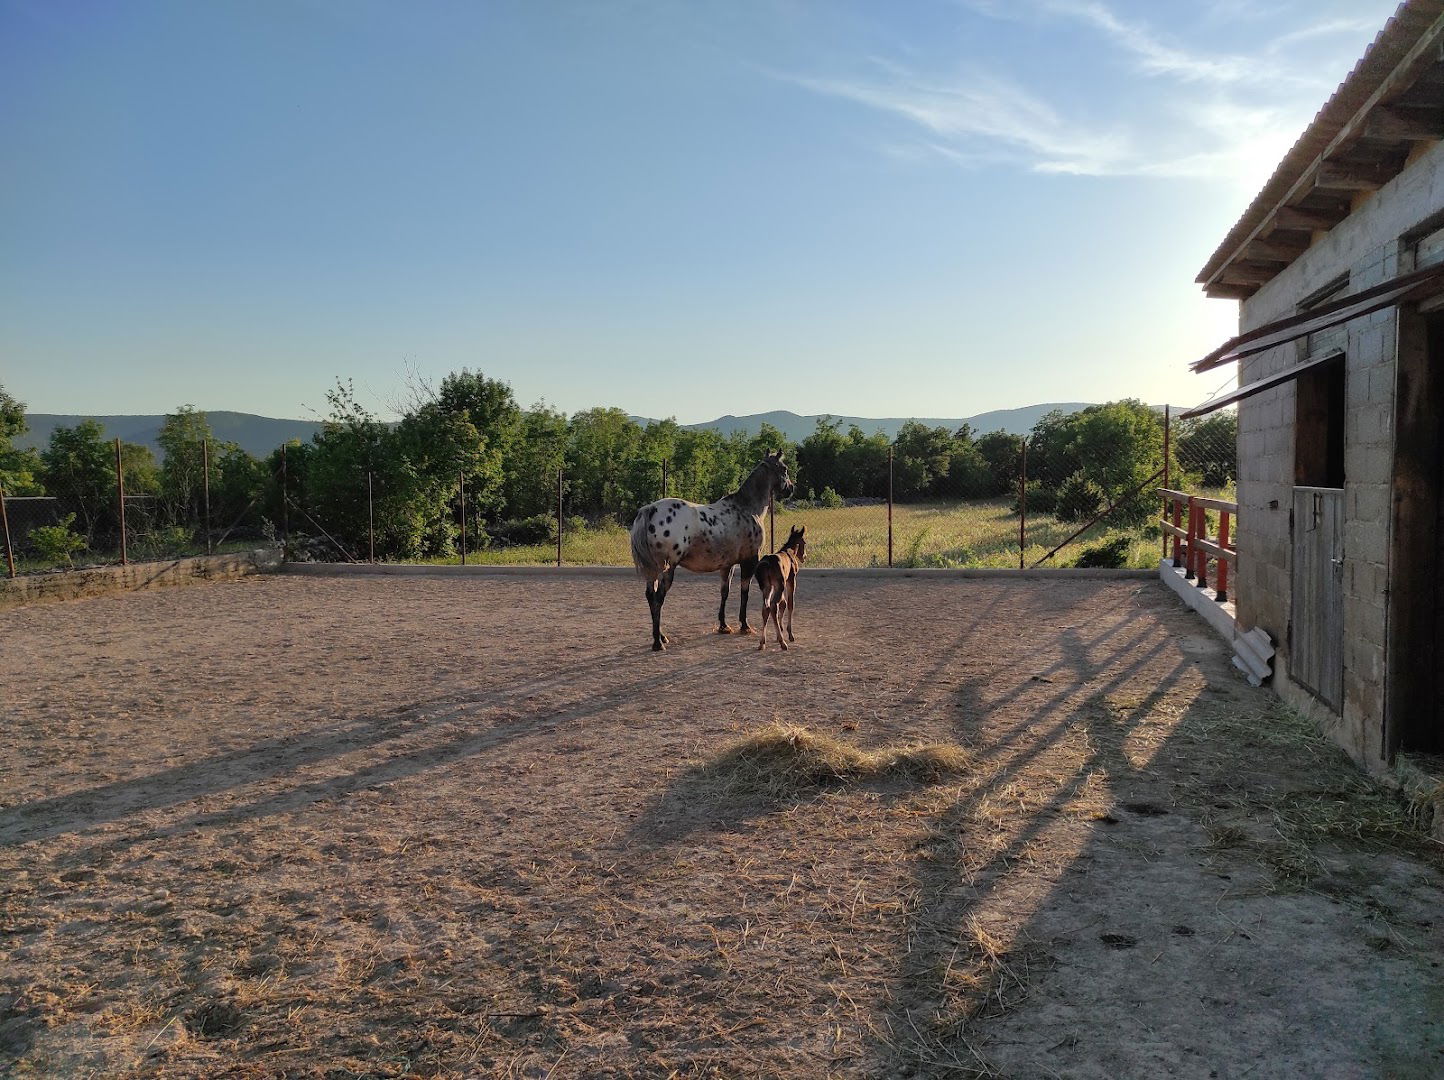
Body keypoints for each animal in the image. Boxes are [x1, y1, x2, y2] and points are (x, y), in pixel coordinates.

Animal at [629, 451, 794, 651]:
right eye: (784, 468)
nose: (791, 488)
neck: (746, 508)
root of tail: (650, 509)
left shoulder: (728, 564)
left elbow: (725, 591)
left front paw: (724, 626)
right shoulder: (750, 560)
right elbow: (744, 592)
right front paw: (744, 625)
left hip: (652, 570)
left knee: (650, 597)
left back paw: (661, 636)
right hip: (667, 569)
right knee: (658, 599)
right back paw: (657, 642)